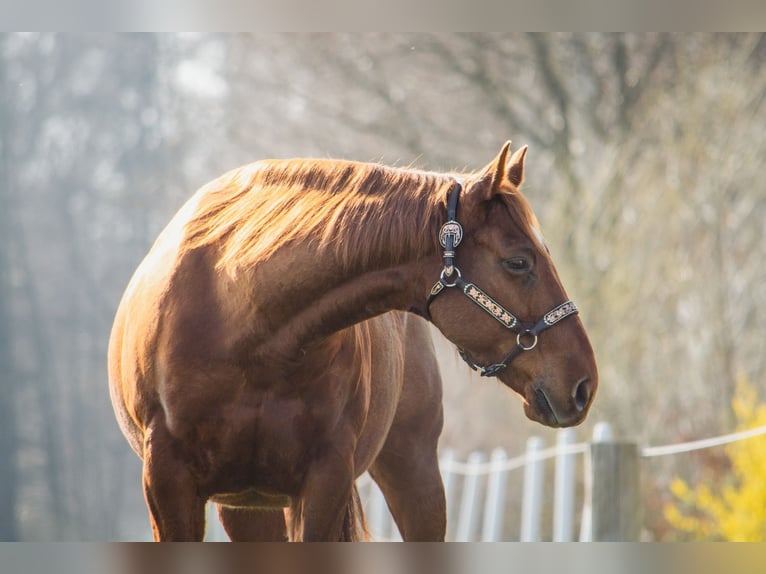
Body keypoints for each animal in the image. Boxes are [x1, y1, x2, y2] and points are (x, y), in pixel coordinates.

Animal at [108, 142, 600, 544]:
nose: (583, 385)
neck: (247, 324)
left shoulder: (325, 482)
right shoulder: (168, 485)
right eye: (518, 262)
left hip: (413, 471)